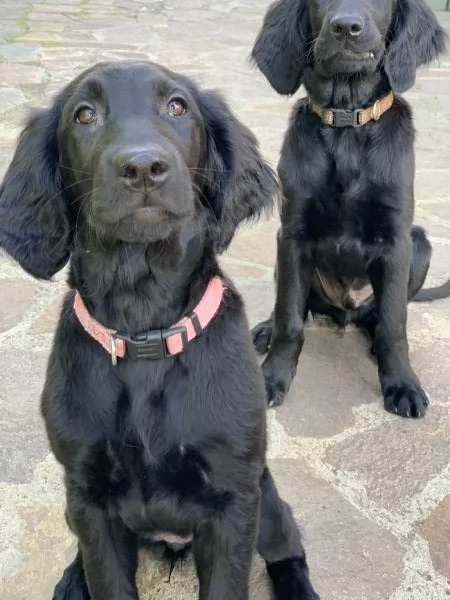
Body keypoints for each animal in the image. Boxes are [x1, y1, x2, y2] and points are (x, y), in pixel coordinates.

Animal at [0, 62, 320, 600]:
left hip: (268, 500)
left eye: (176, 107)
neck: (144, 329)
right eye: (84, 115)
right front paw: (83, 577)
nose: (143, 167)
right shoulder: (88, 497)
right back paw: (72, 578)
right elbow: (106, 577)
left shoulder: (234, 500)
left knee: (289, 546)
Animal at [251, 0, 448, 418]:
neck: (346, 123)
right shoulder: (292, 234)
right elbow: (289, 317)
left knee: (378, 316)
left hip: (421, 244)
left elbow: (394, 325)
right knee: (295, 307)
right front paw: (272, 377)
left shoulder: (397, 239)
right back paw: (264, 329)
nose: (345, 27)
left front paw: (402, 384)